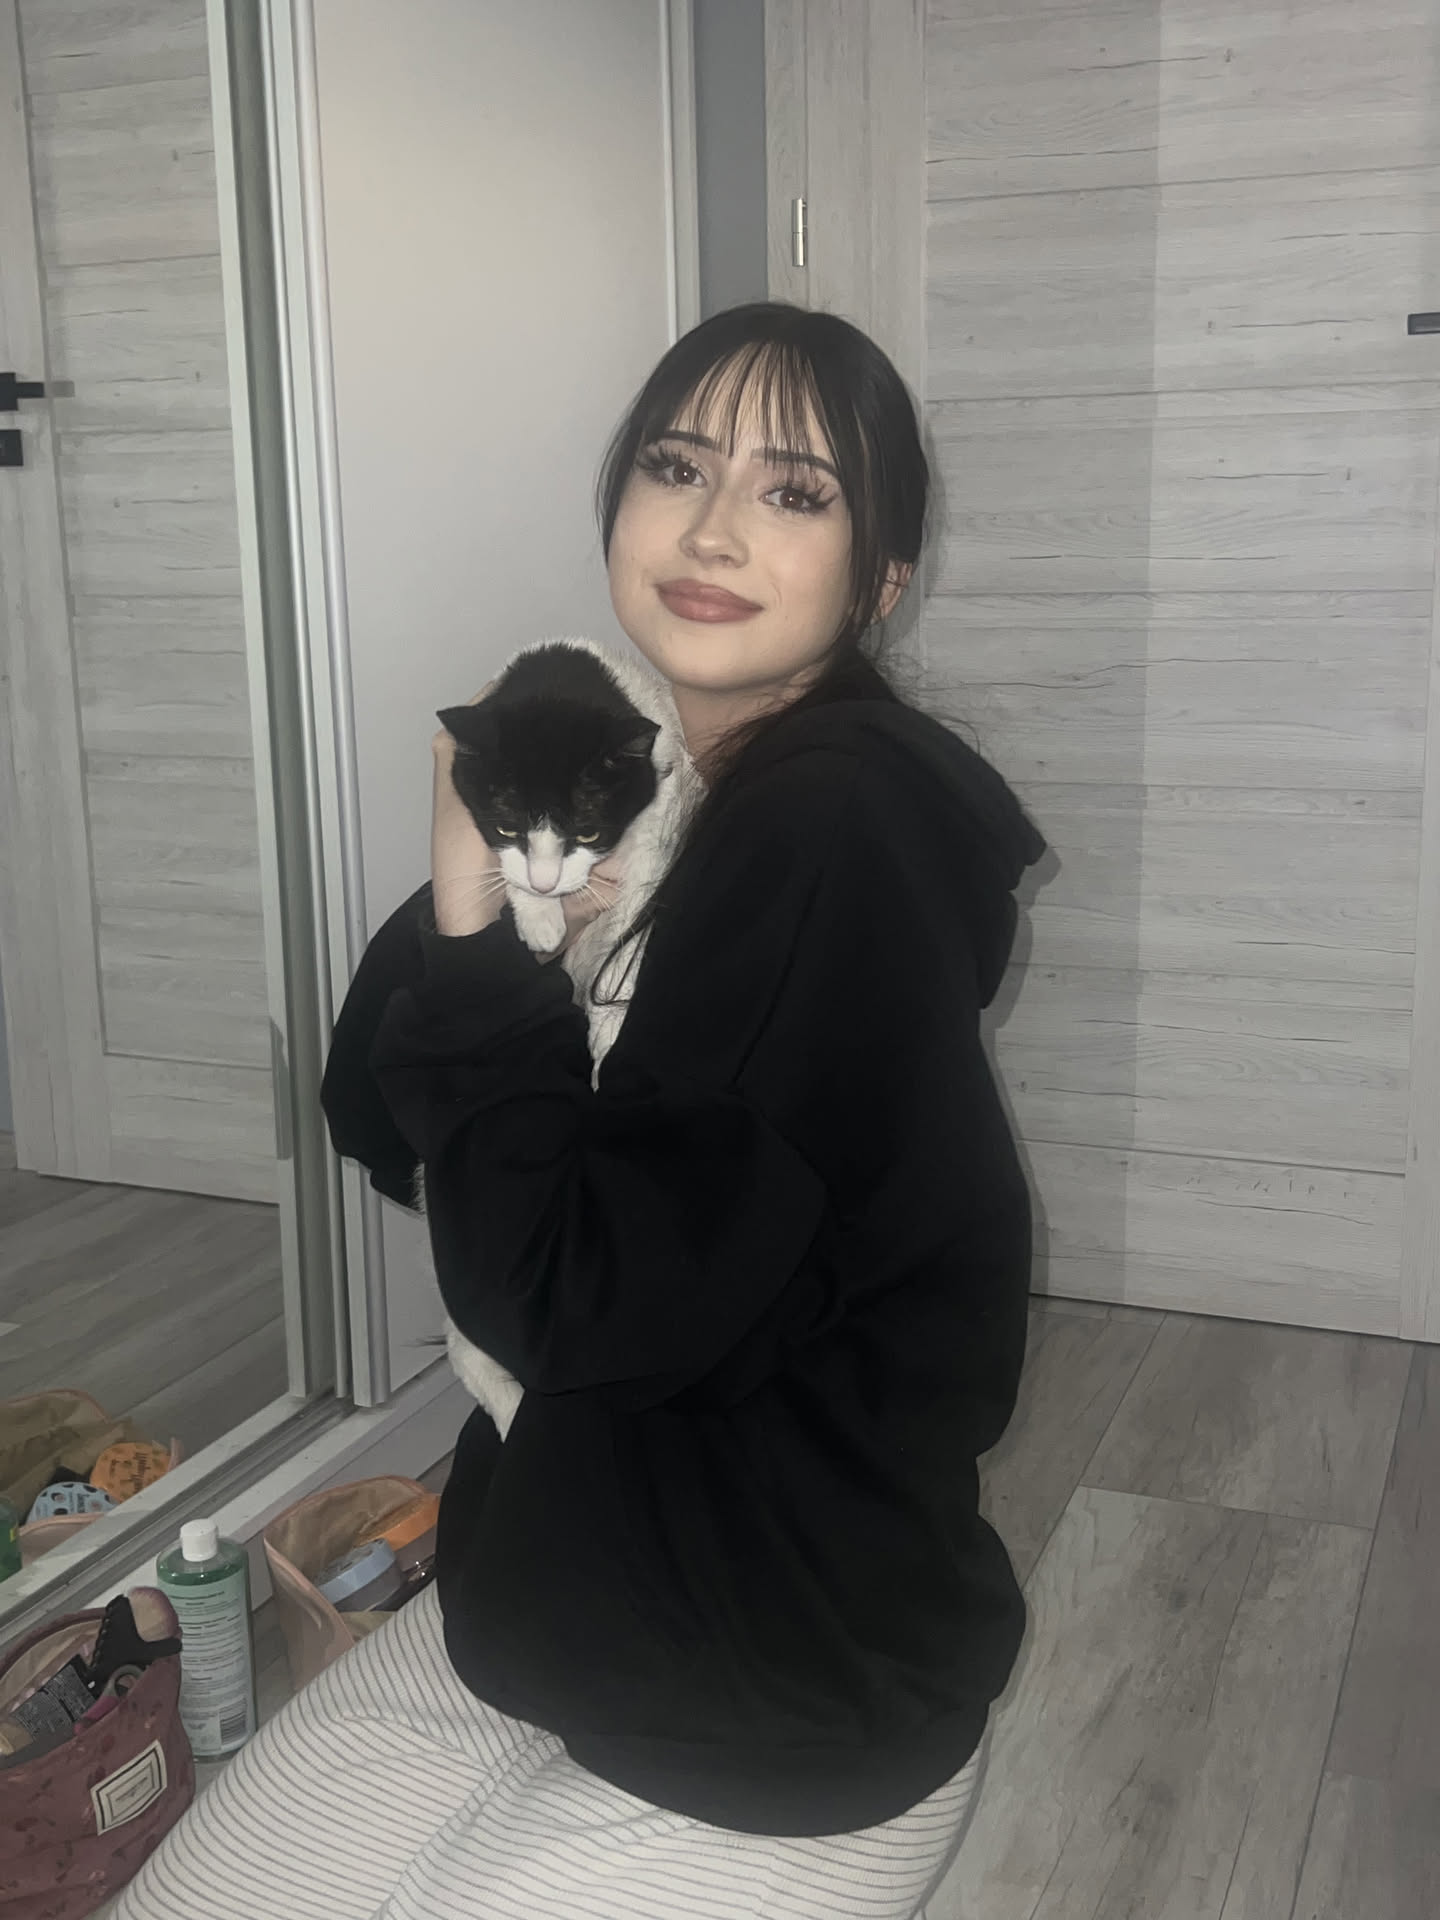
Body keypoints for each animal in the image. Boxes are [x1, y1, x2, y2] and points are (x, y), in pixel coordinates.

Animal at [426, 638, 701, 1437]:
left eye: (586, 828)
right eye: (506, 824)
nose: (551, 884)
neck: (563, 678)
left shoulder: (669, 792)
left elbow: (640, 903)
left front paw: (613, 1019)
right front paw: (537, 915)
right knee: (472, 1353)